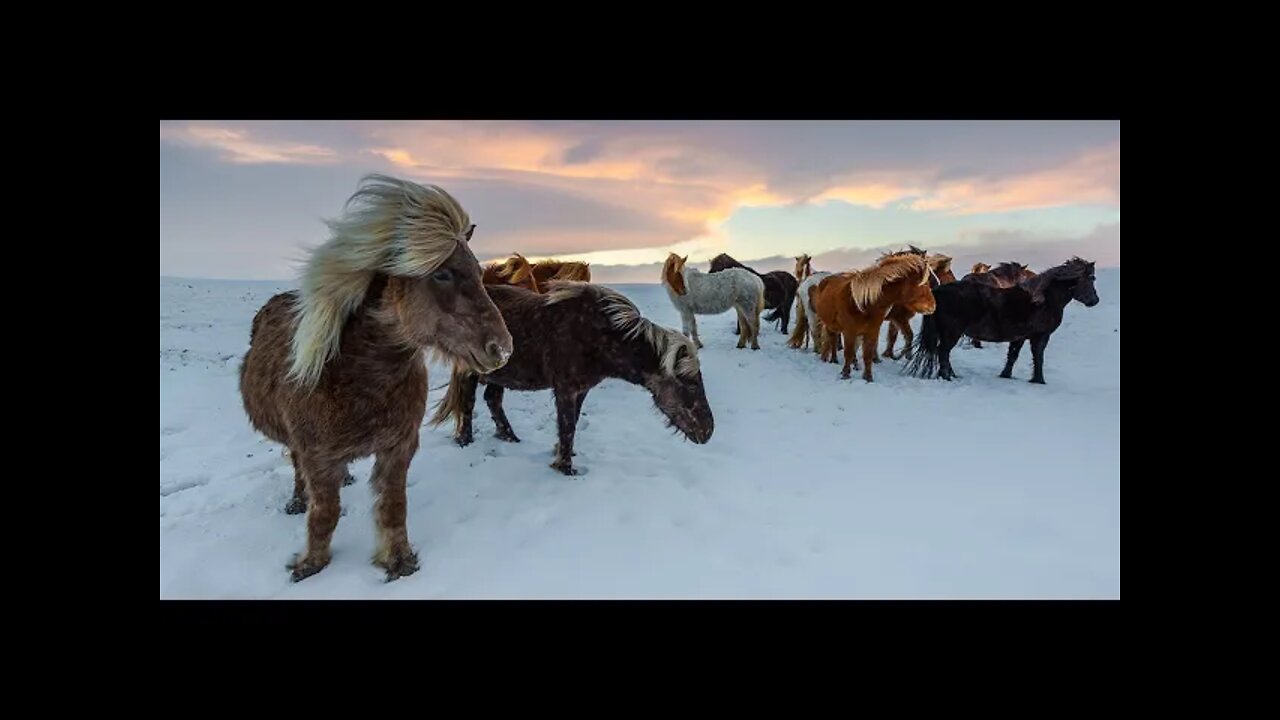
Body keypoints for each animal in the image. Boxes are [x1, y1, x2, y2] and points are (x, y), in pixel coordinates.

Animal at [238, 174, 513, 583]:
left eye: (480, 274)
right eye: (442, 273)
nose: (502, 348)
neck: (361, 380)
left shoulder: (398, 448)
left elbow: (393, 506)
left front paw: (398, 561)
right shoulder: (317, 456)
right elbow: (325, 513)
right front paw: (310, 564)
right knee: (297, 468)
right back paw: (298, 500)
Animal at [430, 282, 714, 476]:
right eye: (689, 384)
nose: (708, 431)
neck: (599, 335)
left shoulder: (581, 390)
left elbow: (572, 423)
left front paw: (562, 454)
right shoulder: (565, 389)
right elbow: (567, 425)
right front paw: (565, 467)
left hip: (500, 375)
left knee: (492, 399)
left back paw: (509, 438)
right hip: (470, 373)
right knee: (467, 404)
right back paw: (465, 441)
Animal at [811, 252, 937, 381]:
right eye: (925, 284)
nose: (933, 306)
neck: (863, 303)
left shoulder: (872, 331)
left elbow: (868, 354)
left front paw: (868, 378)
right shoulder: (849, 332)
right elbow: (848, 353)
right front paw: (845, 375)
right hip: (831, 324)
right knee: (832, 339)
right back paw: (833, 360)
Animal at [903, 257, 1098, 384]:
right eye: (1091, 278)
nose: (1095, 300)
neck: (1043, 300)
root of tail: (938, 291)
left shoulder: (1020, 337)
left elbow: (1013, 356)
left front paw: (1006, 375)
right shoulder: (1041, 336)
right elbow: (1039, 357)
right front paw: (1039, 380)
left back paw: (952, 375)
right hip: (952, 333)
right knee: (943, 352)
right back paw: (947, 377)